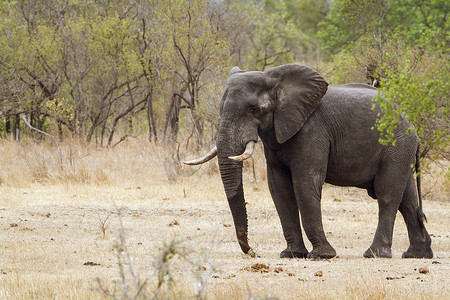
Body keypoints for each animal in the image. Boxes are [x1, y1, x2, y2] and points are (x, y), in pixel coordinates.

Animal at [184, 64, 432, 258]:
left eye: (254, 109)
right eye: (220, 108)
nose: (252, 252)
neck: (274, 79)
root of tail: (412, 125)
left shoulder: (313, 130)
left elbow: (305, 182)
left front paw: (322, 255)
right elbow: (279, 187)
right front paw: (292, 254)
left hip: (397, 145)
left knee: (387, 194)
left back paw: (375, 254)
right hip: (401, 150)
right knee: (407, 198)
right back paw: (417, 255)